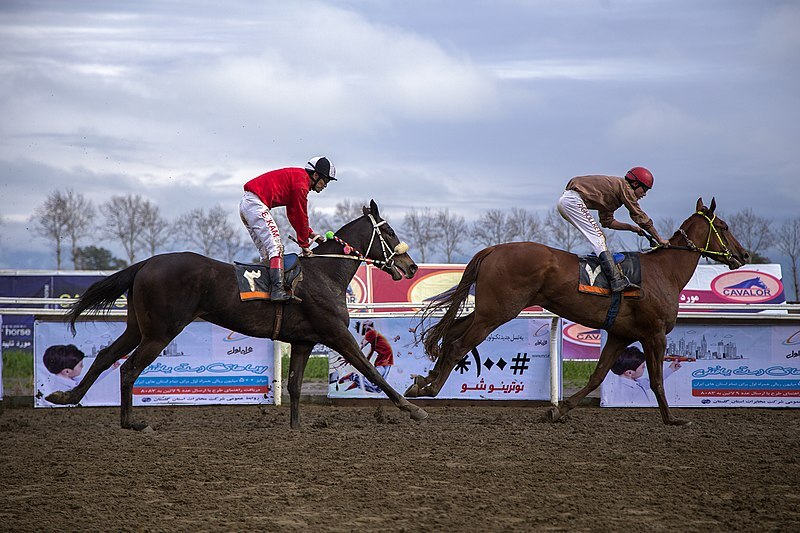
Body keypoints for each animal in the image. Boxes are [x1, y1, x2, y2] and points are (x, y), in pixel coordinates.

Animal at [45, 200, 432, 428]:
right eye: (389, 231)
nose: (411, 266)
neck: (325, 272)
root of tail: (146, 263)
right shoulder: (337, 334)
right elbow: (372, 371)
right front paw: (413, 408)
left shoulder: (304, 341)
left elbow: (294, 385)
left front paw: (296, 427)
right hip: (160, 332)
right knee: (128, 368)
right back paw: (130, 422)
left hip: (139, 327)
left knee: (106, 356)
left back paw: (66, 397)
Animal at [406, 197, 752, 426]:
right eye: (723, 226)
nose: (744, 254)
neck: (664, 273)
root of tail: (494, 248)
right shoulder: (654, 334)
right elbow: (656, 379)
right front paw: (673, 419)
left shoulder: (620, 335)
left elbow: (597, 375)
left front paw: (559, 409)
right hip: (497, 312)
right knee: (457, 344)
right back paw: (431, 388)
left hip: (487, 310)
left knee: (451, 332)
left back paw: (423, 381)